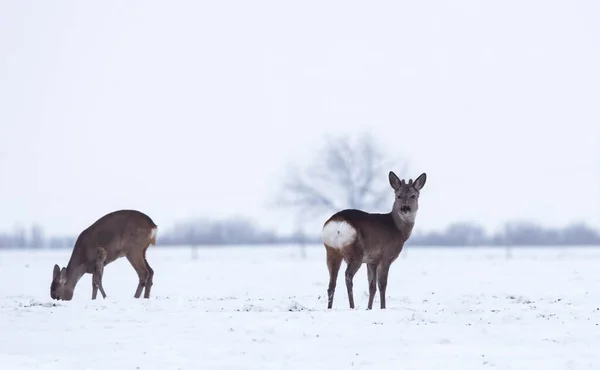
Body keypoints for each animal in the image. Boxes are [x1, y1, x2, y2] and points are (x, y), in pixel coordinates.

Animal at [322, 171, 424, 310]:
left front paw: (369, 308)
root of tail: (338, 224)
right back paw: (352, 306)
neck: (398, 229)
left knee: (331, 283)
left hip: (331, 251)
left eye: (413, 196)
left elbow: (372, 286)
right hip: (355, 252)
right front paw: (383, 307)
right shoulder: (385, 256)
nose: (405, 208)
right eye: (398, 196)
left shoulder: (371, 261)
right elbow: (382, 285)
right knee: (348, 276)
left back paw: (330, 307)